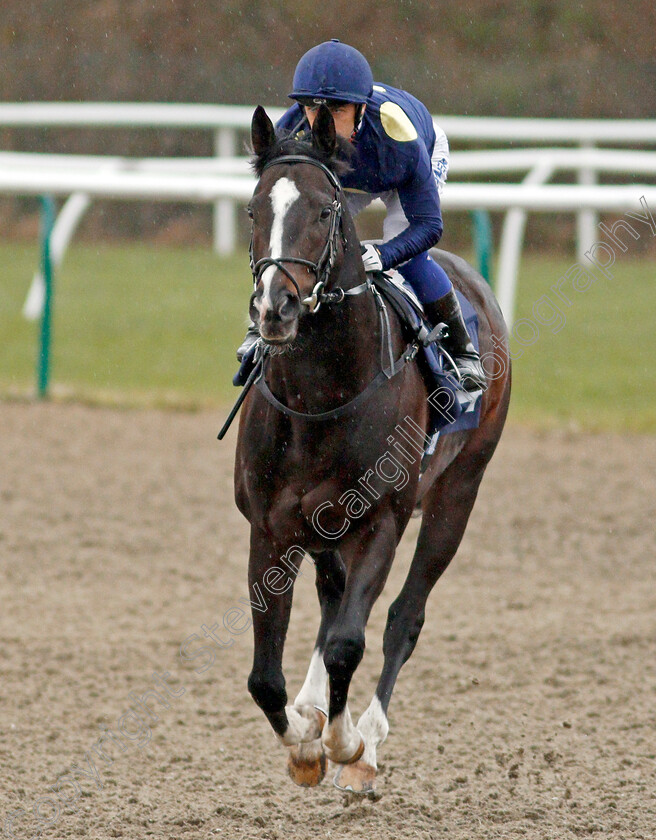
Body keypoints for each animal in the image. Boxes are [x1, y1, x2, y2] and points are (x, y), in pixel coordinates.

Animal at [233, 105, 510, 796]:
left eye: (325, 211)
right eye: (253, 209)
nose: (275, 307)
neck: (319, 396)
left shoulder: (382, 520)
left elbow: (349, 644)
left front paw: (345, 743)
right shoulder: (271, 527)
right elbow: (264, 677)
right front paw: (304, 742)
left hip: (458, 493)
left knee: (404, 616)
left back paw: (371, 737)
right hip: (324, 524)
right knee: (333, 598)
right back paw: (313, 705)